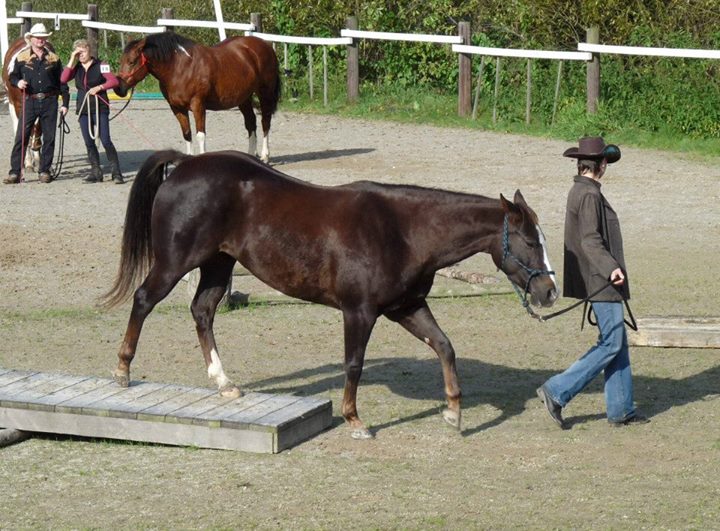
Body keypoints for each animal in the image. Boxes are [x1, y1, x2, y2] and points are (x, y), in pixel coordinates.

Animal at [2, 39, 44, 172]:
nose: (36, 146)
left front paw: (38, 160)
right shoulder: (19, 107)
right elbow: (23, 133)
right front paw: (28, 162)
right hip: (12, 105)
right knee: (17, 127)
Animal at [102, 150, 564, 440]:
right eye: (529, 241)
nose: (550, 292)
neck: (403, 230)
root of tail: (185, 164)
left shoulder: (407, 307)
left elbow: (445, 347)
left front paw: (453, 411)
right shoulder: (359, 312)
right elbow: (354, 365)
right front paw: (354, 420)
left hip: (218, 265)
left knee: (202, 312)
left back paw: (224, 384)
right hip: (176, 262)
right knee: (144, 300)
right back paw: (122, 370)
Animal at [114, 32, 278, 161]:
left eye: (132, 62)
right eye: (121, 61)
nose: (118, 88)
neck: (179, 68)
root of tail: (265, 45)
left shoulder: (198, 105)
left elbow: (200, 135)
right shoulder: (177, 108)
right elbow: (187, 134)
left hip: (265, 93)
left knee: (265, 122)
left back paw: (265, 156)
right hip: (243, 98)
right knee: (251, 123)